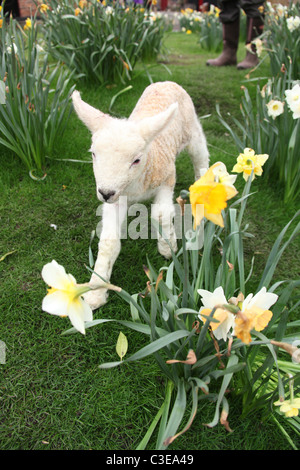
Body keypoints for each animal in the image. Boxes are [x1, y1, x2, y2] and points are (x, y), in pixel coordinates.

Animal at [71, 81, 210, 308]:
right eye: (93, 154)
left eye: (136, 160)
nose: (105, 192)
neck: (135, 187)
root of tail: (166, 83)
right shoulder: (117, 200)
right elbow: (108, 242)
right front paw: (95, 292)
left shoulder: (167, 178)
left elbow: (161, 215)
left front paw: (168, 247)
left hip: (193, 131)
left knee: (200, 158)